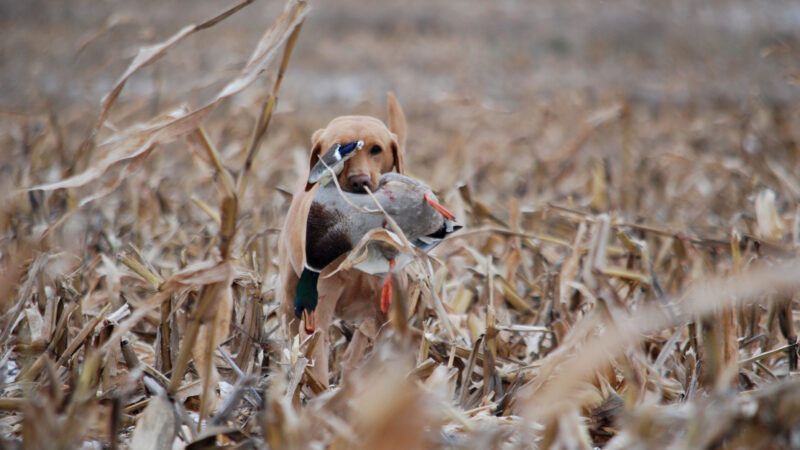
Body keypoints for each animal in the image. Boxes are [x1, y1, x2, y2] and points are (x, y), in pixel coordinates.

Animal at [280, 92, 406, 386]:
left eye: (377, 149)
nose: (360, 181)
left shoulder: (385, 313)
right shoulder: (318, 307)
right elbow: (317, 357)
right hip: (289, 292)